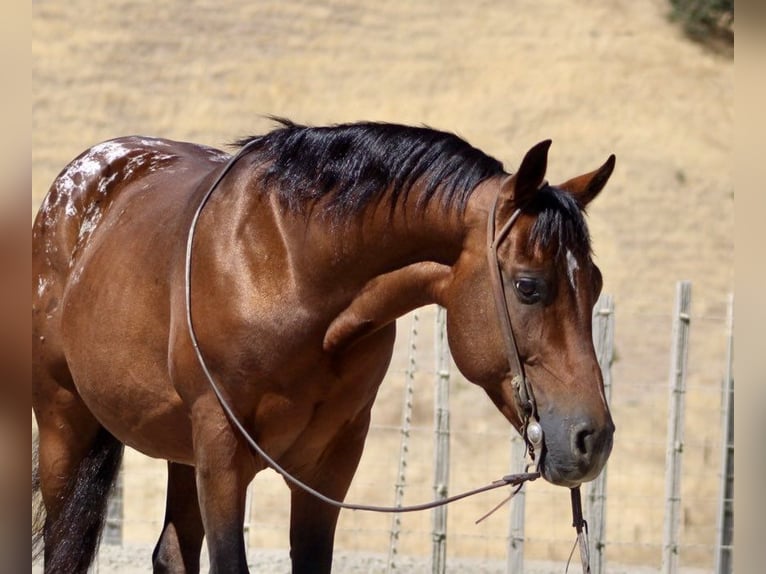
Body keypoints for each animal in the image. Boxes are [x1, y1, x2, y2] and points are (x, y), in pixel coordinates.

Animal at [32, 119, 616, 573]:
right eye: (528, 286)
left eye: (596, 283)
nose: (594, 439)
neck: (290, 271)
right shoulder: (221, 450)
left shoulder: (330, 463)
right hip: (65, 424)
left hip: (180, 450)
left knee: (172, 555)